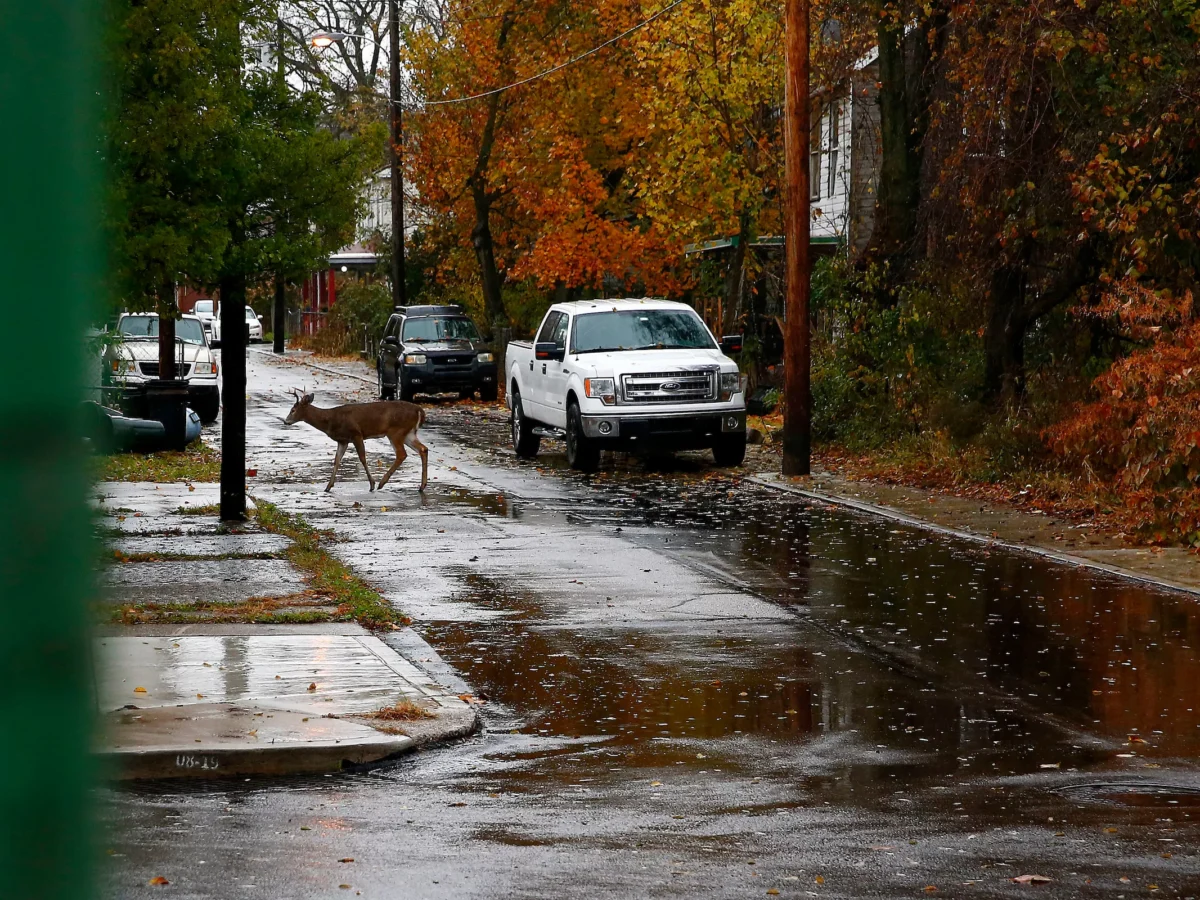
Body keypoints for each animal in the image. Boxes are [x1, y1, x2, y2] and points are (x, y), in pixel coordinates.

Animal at [283, 390, 428, 492]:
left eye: (293, 410)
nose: (285, 421)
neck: (330, 419)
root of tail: (419, 410)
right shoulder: (343, 441)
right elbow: (337, 460)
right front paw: (328, 486)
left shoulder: (356, 434)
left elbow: (362, 458)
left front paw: (372, 484)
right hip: (408, 433)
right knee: (423, 449)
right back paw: (422, 486)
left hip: (396, 431)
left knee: (402, 454)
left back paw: (382, 483)